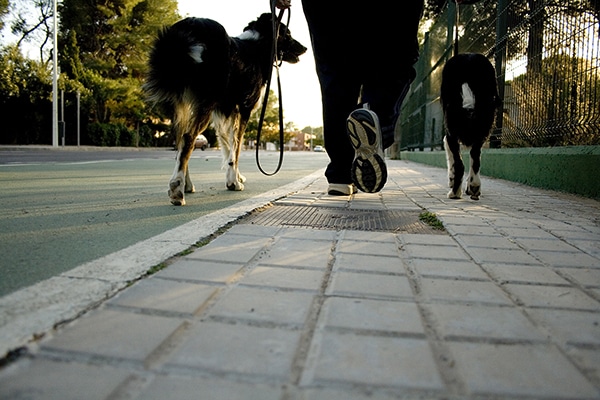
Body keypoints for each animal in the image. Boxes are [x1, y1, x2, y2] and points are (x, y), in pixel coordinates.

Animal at [144, 13, 304, 205]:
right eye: (287, 34)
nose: (304, 48)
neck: (259, 46)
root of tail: (189, 25)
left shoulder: (224, 112)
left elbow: (228, 145)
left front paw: (235, 177)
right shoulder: (244, 109)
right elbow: (237, 147)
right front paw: (234, 182)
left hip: (181, 104)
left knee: (180, 142)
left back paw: (186, 185)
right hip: (205, 102)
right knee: (189, 138)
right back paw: (177, 189)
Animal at [440, 53, 502, 200]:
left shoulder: (450, 134)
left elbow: (453, 160)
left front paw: (453, 182)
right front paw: (471, 185)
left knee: (460, 165)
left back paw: (455, 193)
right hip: (485, 124)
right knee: (475, 156)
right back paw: (474, 186)